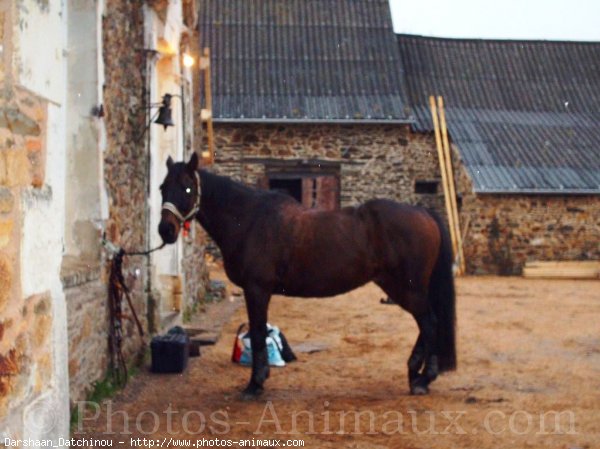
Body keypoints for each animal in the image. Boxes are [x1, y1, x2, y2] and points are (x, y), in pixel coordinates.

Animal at [158, 153, 454, 396]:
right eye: (163, 187)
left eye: (187, 188)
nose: (165, 230)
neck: (249, 219)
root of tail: (422, 212)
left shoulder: (256, 290)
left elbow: (257, 333)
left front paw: (255, 384)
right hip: (403, 288)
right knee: (427, 324)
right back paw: (415, 373)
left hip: (407, 288)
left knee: (430, 323)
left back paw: (423, 379)